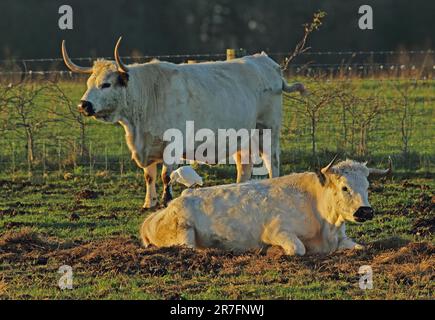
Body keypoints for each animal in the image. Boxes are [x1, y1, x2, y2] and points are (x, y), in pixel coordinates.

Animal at [61, 37, 306, 210]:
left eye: (106, 84)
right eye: (89, 83)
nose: (83, 105)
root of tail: (266, 62)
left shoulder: (173, 144)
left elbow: (165, 175)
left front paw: (165, 200)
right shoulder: (147, 146)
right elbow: (149, 175)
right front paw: (148, 203)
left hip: (267, 131)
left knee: (272, 162)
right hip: (242, 138)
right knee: (244, 167)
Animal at [141, 158, 394, 255]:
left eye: (368, 186)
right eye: (344, 187)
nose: (365, 211)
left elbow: (360, 247)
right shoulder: (276, 231)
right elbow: (298, 248)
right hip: (184, 236)